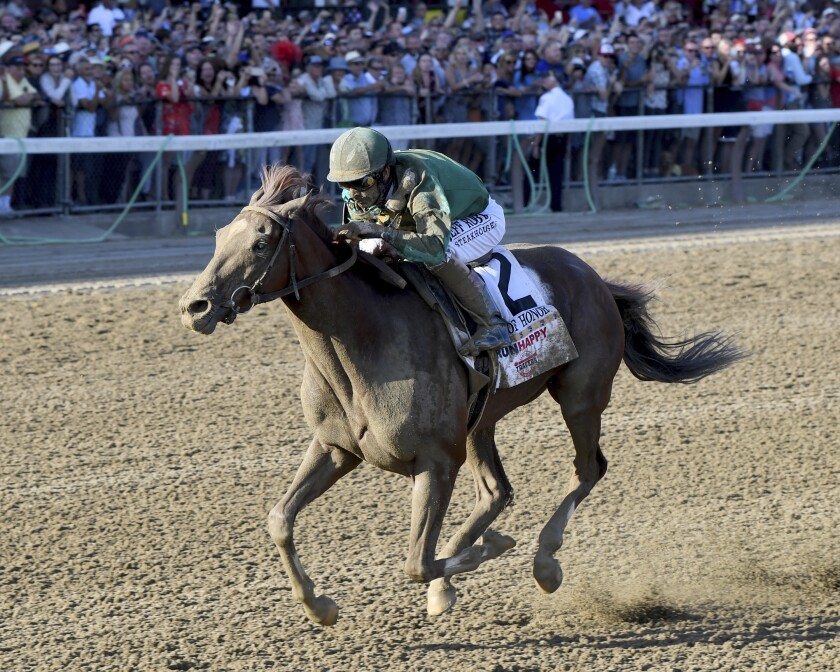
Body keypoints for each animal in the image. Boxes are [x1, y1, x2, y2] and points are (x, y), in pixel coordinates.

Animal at [179, 165, 740, 628]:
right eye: (219, 235)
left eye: (261, 242)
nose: (195, 306)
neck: (361, 340)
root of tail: (596, 278)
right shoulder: (337, 447)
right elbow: (280, 519)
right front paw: (320, 606)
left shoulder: (435, 461)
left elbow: (415, 561)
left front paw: (480, 556)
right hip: (479, 419)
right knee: (497, 491)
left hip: (580, 397)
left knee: (587, 469)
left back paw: (544, 562)